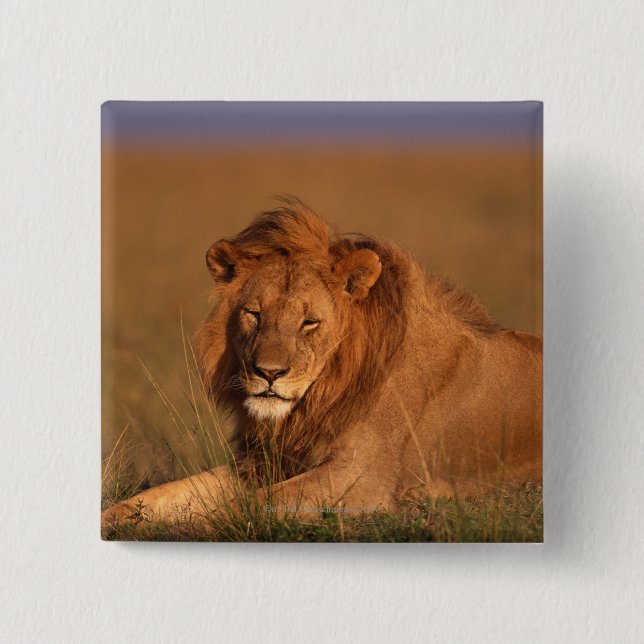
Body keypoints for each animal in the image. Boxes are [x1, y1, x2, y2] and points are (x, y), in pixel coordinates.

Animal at [102, 197, 542, 530]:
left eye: (309, 322)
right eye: (254, 314)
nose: (269, 373)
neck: (321, 397)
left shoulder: (362, 479)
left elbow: (245, 506)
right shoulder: (261, 463)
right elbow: (161, 496)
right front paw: (114, 518)